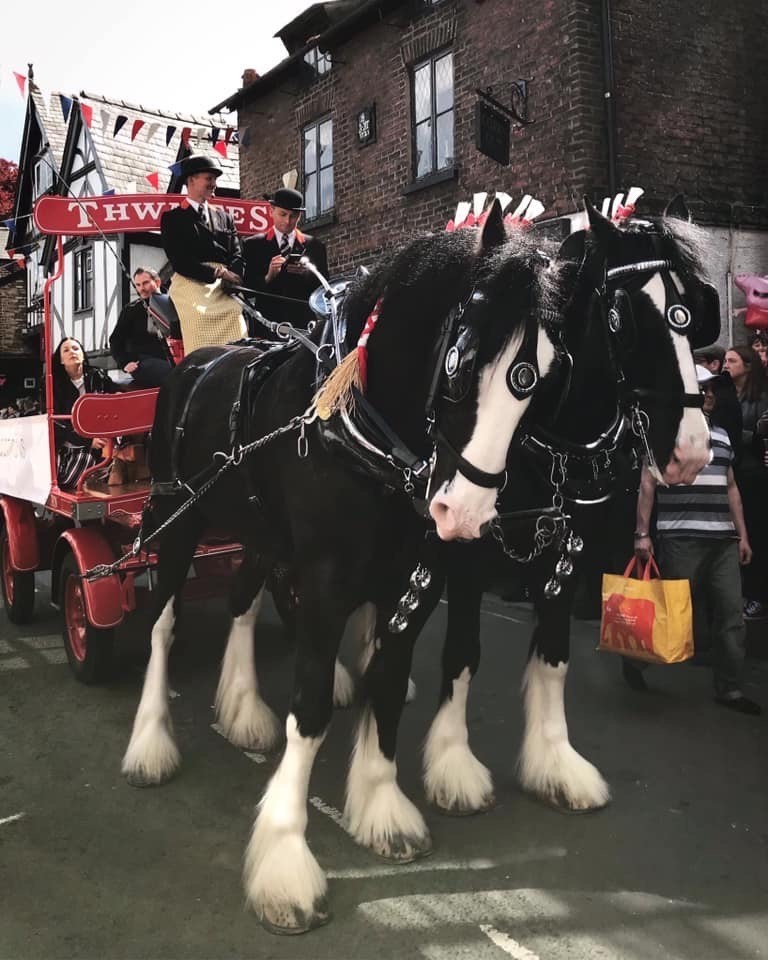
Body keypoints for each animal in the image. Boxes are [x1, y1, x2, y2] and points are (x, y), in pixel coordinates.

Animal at [121, 201, 564, 928]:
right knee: (162, 622)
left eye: (544, 380)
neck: (364, 433)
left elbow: (386, 681)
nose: (467, 514)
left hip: (260, 533)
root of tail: (197, 363)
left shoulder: (408, 580)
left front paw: (382, 806)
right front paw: (284, 860)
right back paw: (150, 744)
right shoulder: (328, 583)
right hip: (175, 517)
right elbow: (309, 708)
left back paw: (242, 708)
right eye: (464, 360)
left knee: (242, 601)